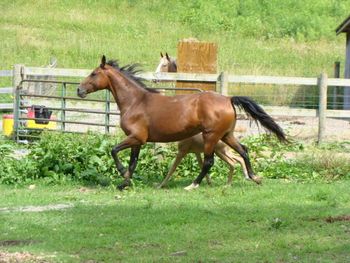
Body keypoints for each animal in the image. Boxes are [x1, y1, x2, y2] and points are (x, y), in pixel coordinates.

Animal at [77, 56, 288, 192]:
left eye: (94, 73)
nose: (79, 90)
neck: (136, 102)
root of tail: (228, 99)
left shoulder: (136, 137)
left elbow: (114, 151)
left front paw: (122, 175)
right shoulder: (138, 140)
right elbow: (132, 162)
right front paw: (125, 183)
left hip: (211, 136)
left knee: (209, 162)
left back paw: (192, 185)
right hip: (226, 135)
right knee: (243, 151)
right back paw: (255, 177)